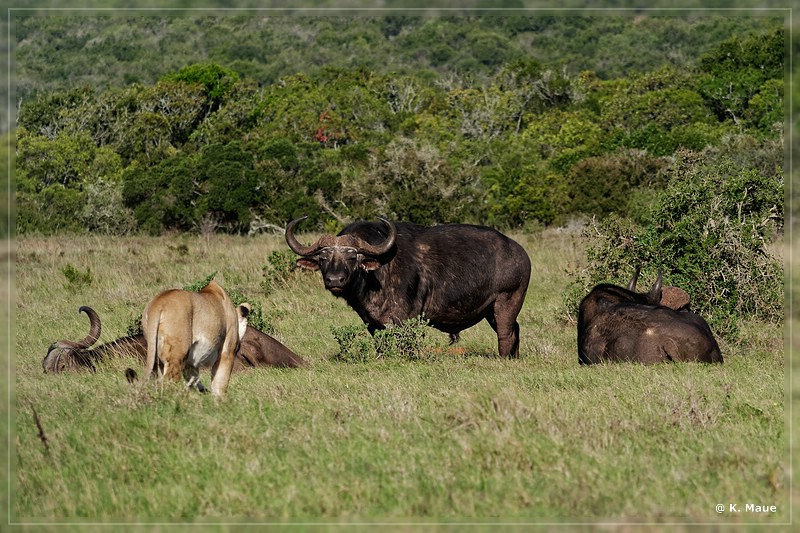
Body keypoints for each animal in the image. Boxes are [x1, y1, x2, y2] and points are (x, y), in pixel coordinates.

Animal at [282, 216, 532, 358]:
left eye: (353, 257)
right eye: (323, 258)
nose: (334, 280)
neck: (380, 272)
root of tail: (520, 253)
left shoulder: (406, 320)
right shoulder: (372, 323)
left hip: (507, 301)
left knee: (506, 334)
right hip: (491, 311)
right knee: (516, 330)